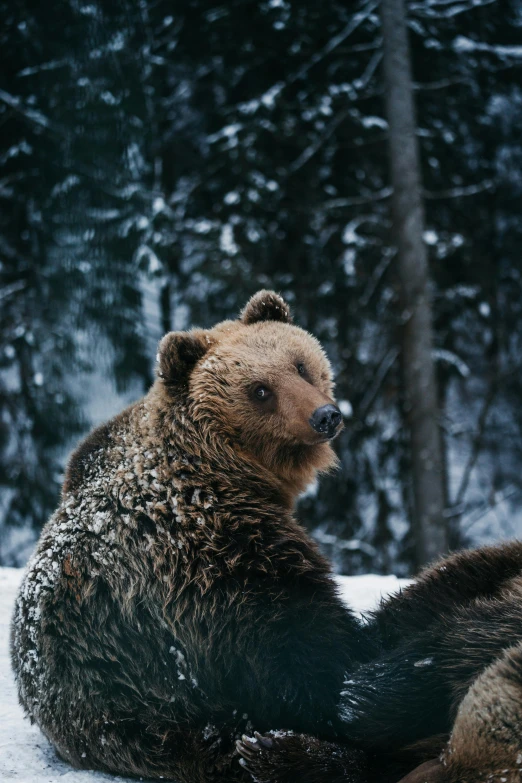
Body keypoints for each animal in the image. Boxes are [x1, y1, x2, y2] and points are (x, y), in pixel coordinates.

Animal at [11, 292, 370, 783]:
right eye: (259, 390)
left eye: (299, 364)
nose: (325, 415)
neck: (220, 462)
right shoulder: (207, 544)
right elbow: (292, 635)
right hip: (137, 701)